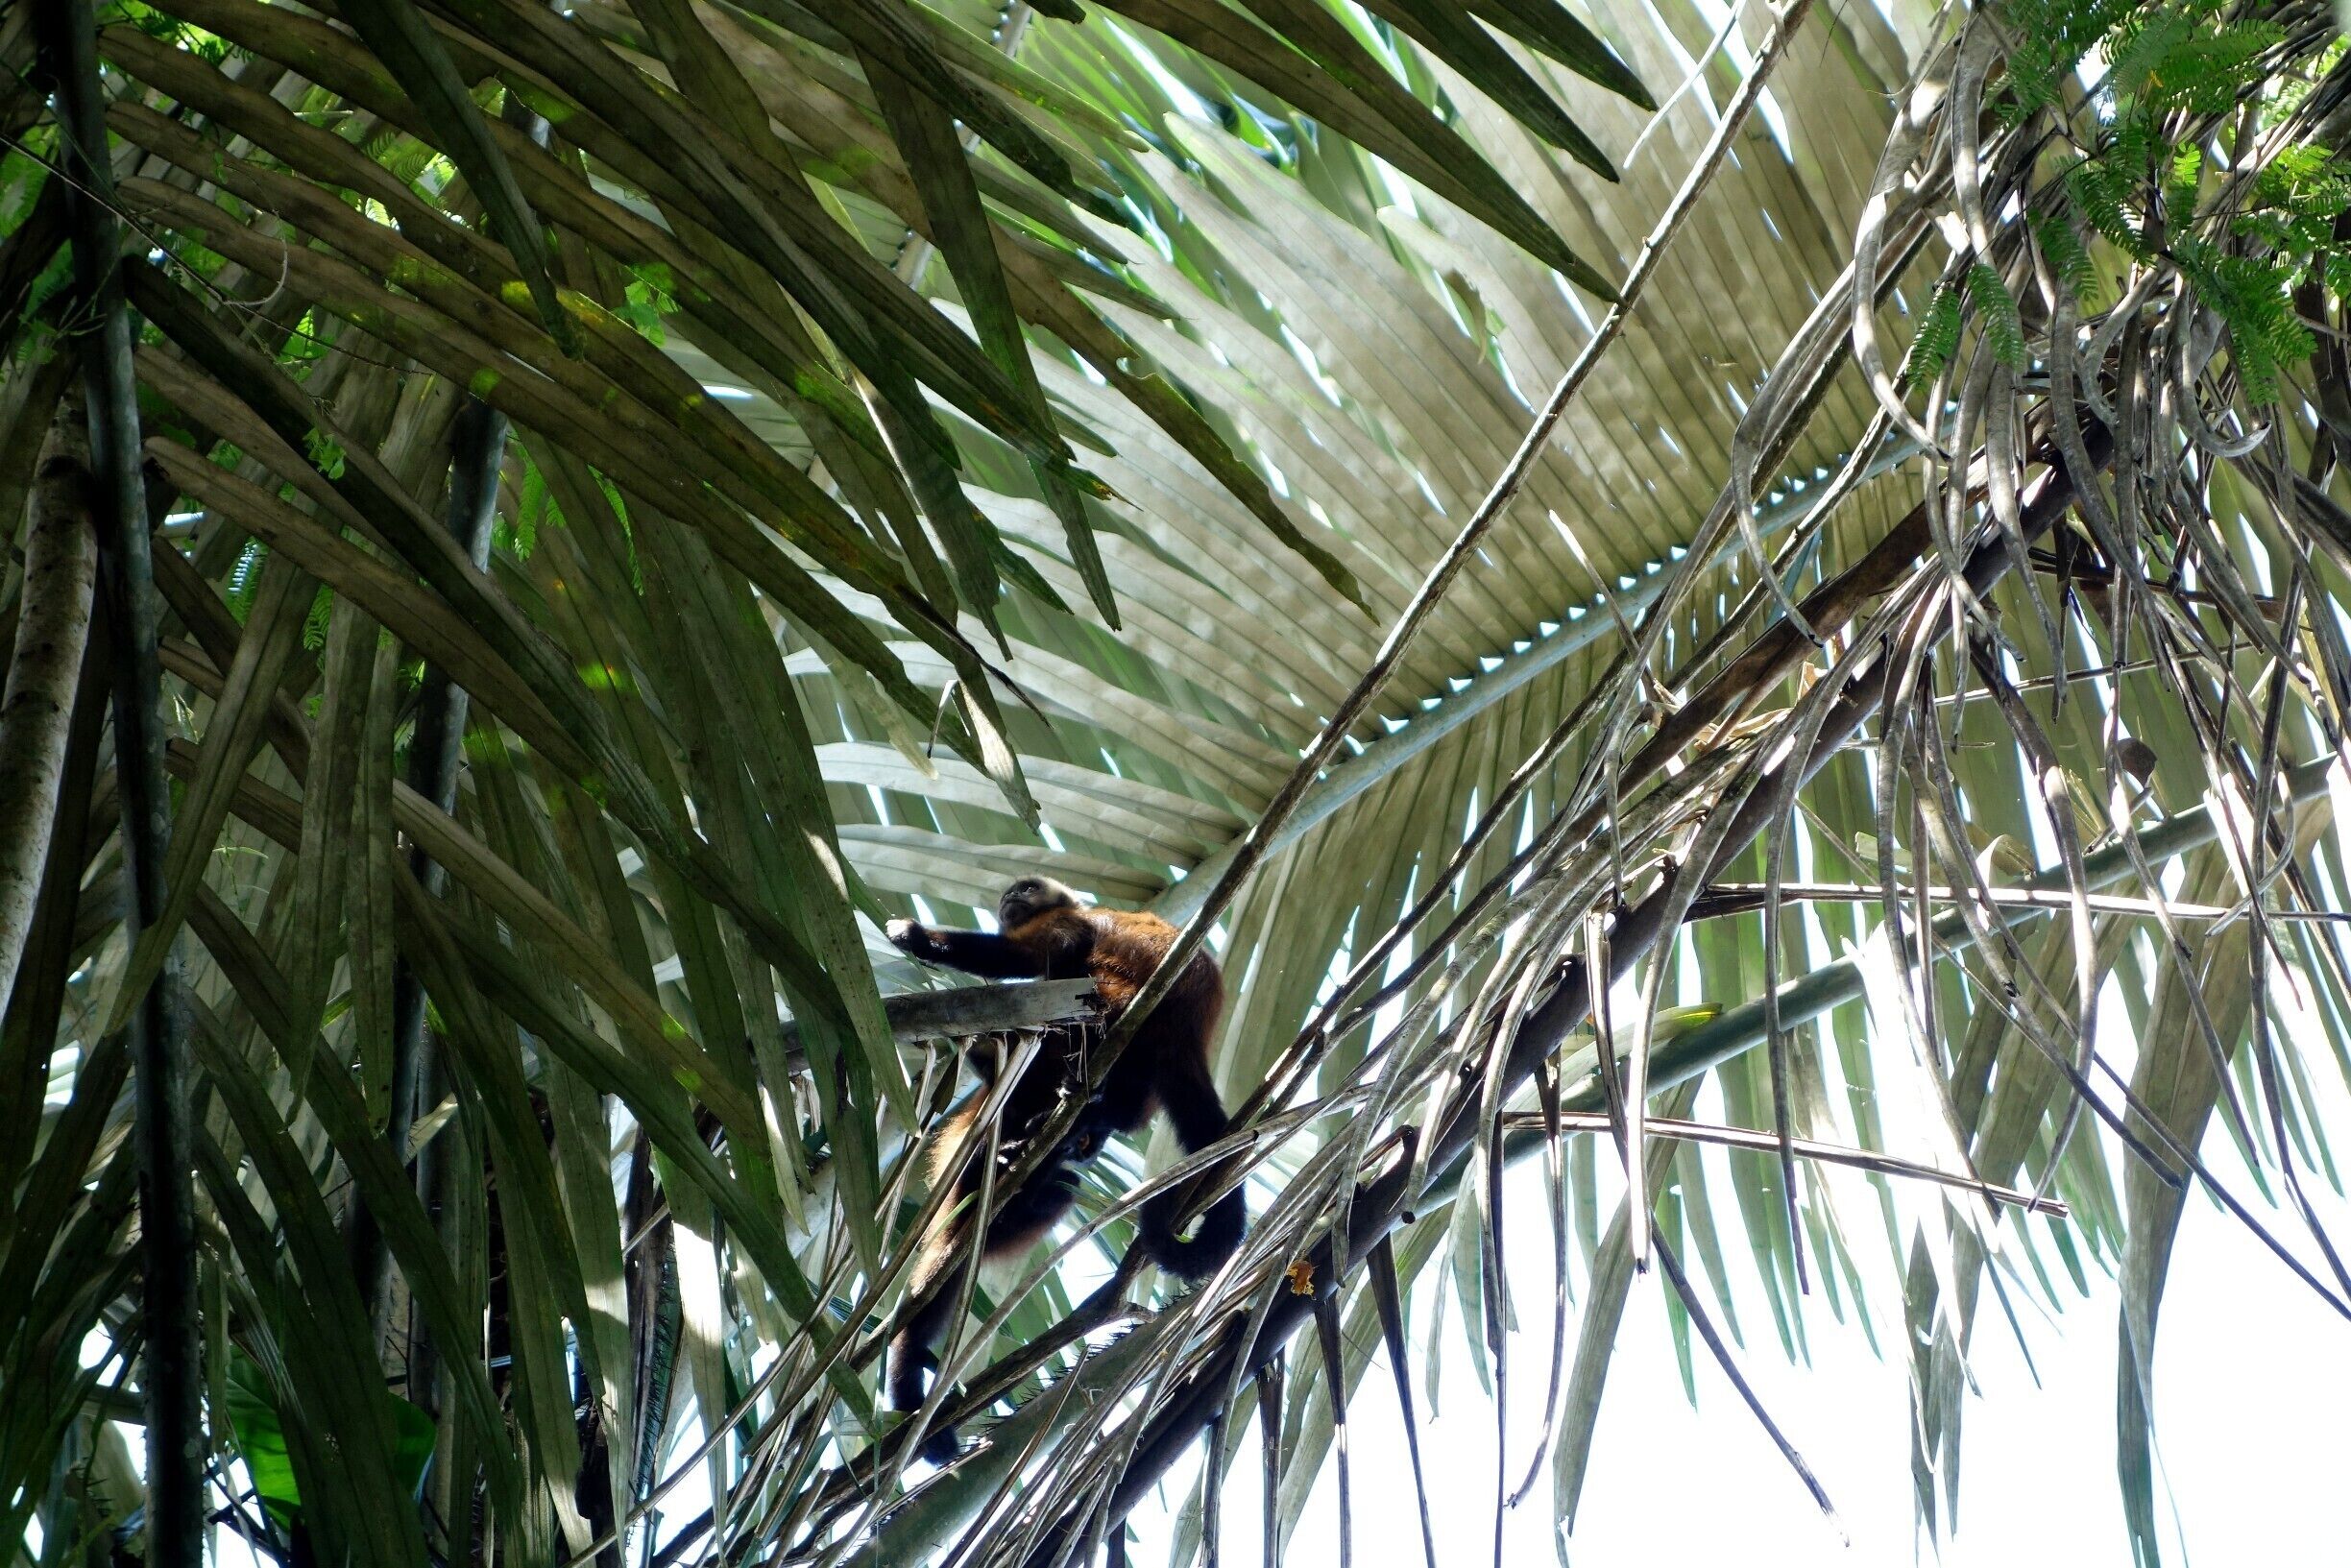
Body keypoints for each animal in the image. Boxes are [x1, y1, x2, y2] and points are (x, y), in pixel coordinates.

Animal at [882, 875, 1245, 1464]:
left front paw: (912, 935)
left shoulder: (1067, 924)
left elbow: (1021, 957)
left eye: (1029, 888)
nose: (1012, 896)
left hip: (1111, 1010)